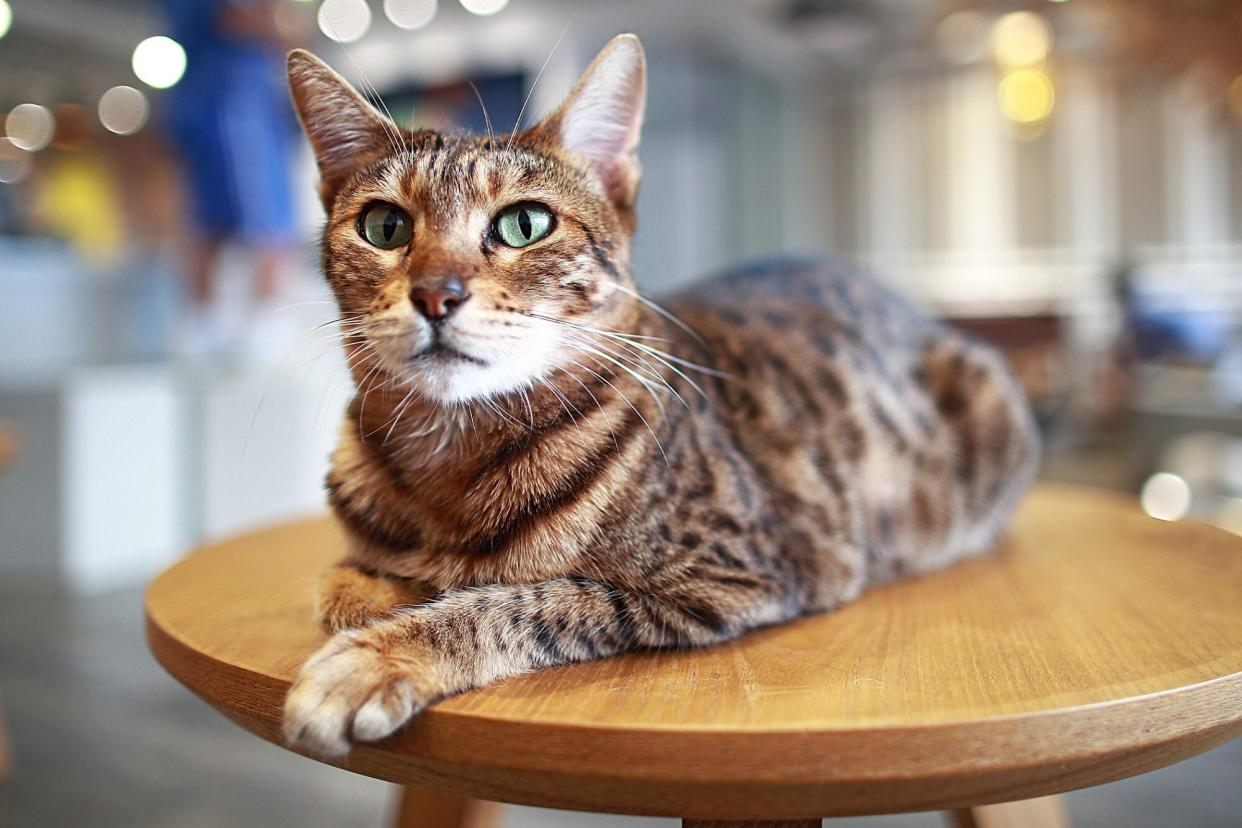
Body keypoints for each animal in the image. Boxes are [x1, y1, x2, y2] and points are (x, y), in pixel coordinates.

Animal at [279, 33, 1038, 759]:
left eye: (525, 224)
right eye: (385, 227)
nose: (436, 293)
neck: (448, 462)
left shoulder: (725, 574)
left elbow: (521, 601)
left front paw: (381, 654)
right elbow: (343, 585)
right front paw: (382, 594)